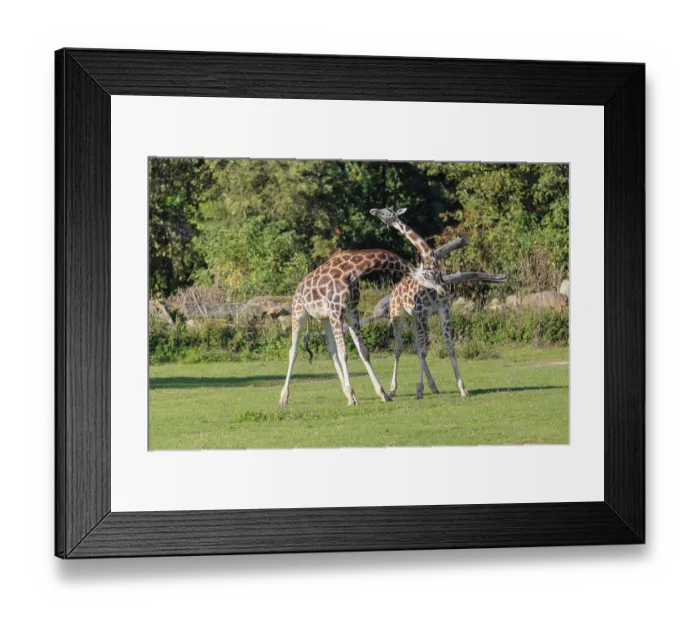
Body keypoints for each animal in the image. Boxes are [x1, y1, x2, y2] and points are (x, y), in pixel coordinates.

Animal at [279, 248, 446, 407]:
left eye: (437, 274)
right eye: (428, 275)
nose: (442, 290)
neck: (353, 270)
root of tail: (298, 289)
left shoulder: (351, 312)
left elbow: (363, 351)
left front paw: (381, 394)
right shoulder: (336, 311)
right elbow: (344, 353)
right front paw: (352, 396)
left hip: (324, 318)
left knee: (331, 349)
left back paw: (345, 391)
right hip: (299, 312)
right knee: (293, 351)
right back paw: (283, 398)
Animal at [369, 207, 468, 400]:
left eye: (387, 212)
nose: (373, 211)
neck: (432, 267)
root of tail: (393, 291)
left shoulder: (443, 310)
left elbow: (449, 347)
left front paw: (462, 388)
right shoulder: (424, 314)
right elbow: (423, 351)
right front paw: (419, 389)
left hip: (414, 318)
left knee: (415, 346)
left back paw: (433, 386)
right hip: (398, 315)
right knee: (399, 348)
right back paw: (392, 389)